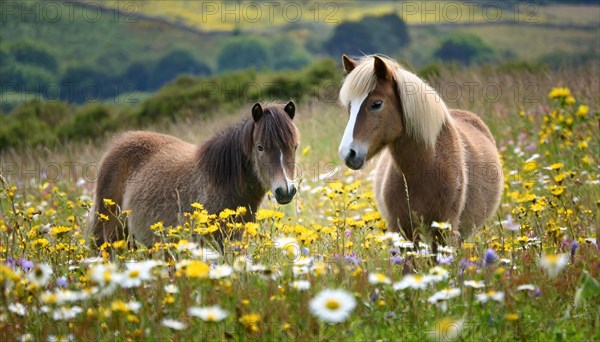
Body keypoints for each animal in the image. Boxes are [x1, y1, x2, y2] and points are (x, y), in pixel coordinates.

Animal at [338, 54, 502, 243]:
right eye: (350, 107)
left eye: (377, 103)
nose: (348, 153)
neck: (426, 168)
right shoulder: (401, 232)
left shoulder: (446, 231)